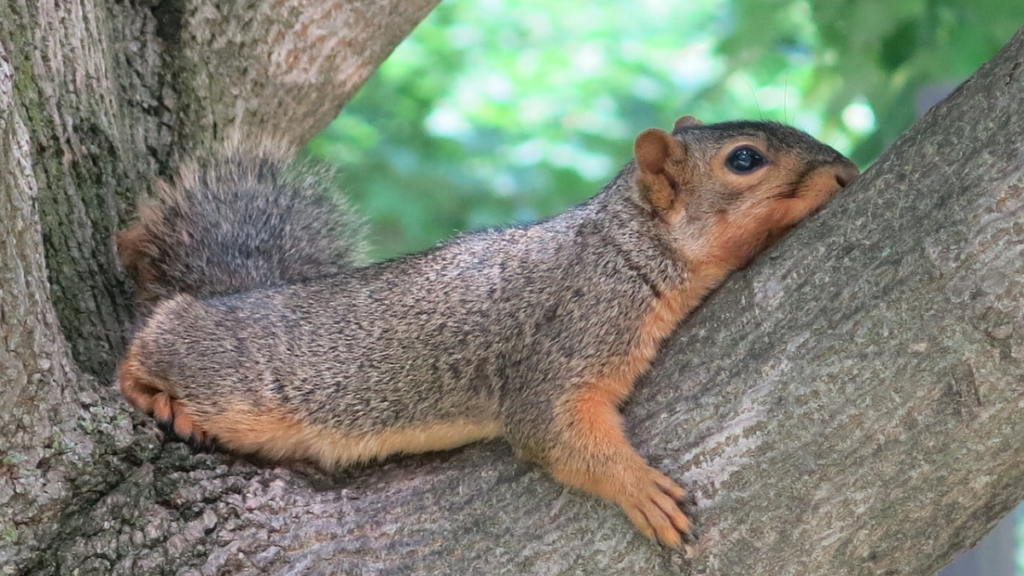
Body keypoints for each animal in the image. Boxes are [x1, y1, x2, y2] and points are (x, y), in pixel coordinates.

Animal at [116, 115, 860, 545]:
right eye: (744, 160)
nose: (848, 171)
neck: (628, 247)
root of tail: (231, 295)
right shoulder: (569, 333)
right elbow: (552, 428)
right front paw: (638, 488)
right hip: (226, 375)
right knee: (155, 339)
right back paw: (151, 390)